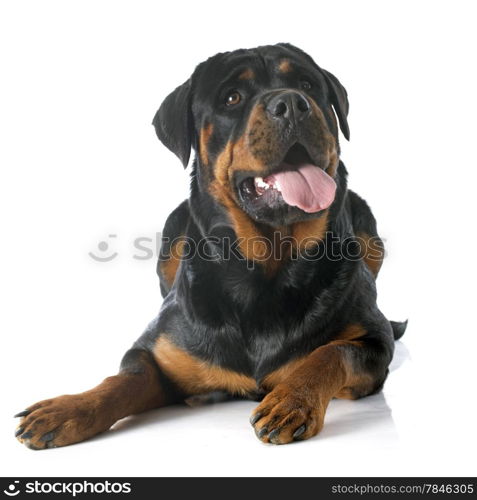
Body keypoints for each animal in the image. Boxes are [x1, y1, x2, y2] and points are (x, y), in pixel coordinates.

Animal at [13, 44, 406, 450]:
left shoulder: (374, 342)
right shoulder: (158, 350)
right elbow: (124, 378)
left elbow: (332, 352)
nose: (293, 103)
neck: (266, 271)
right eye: (232, 98)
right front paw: (67, 408)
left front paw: (293, 401)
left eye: (307, 85)